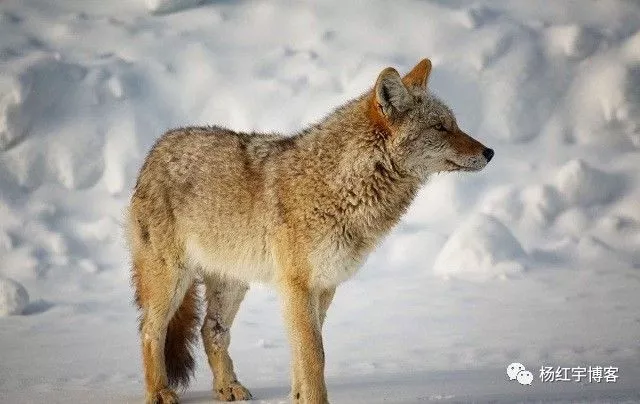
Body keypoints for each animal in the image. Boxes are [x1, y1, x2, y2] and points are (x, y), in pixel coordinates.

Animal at [127, 58, 492, 402]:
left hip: (232, 284)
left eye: (454, 124)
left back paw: (228, 387)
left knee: (211, 330)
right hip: (172, 280)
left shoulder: (324, 287)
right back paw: (159, 393)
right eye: (441, 127)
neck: (342, 186)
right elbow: (314, 357)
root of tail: (156, 149)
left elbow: (301, 358)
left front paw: (298, 397)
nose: (489, 152)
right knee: (149, 329)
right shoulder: (297, 288)